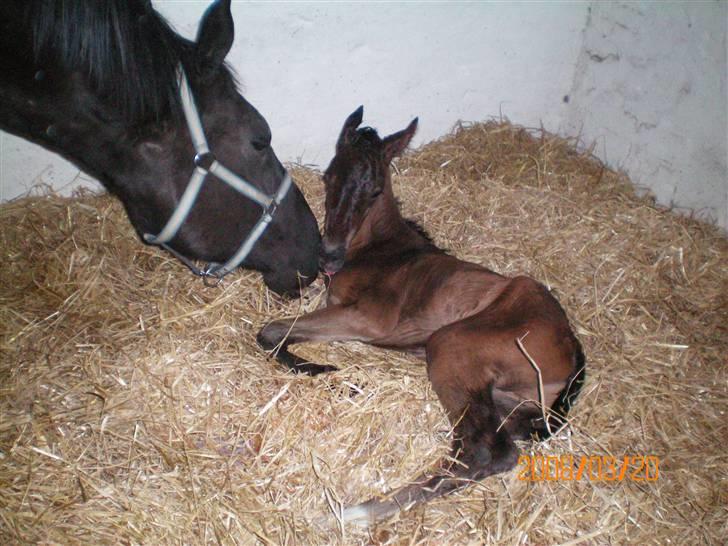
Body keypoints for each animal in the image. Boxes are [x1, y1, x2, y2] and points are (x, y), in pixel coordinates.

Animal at [258, 106, 584, 524]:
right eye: (328, 176)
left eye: (375, 191)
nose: (328, 256)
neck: (381, 248)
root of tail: (571, 344)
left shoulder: (371, 317)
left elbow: (272, 332)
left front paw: (332, 374)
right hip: (509, 400)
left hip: (450, 344)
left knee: (485, 452)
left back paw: (354, 513)